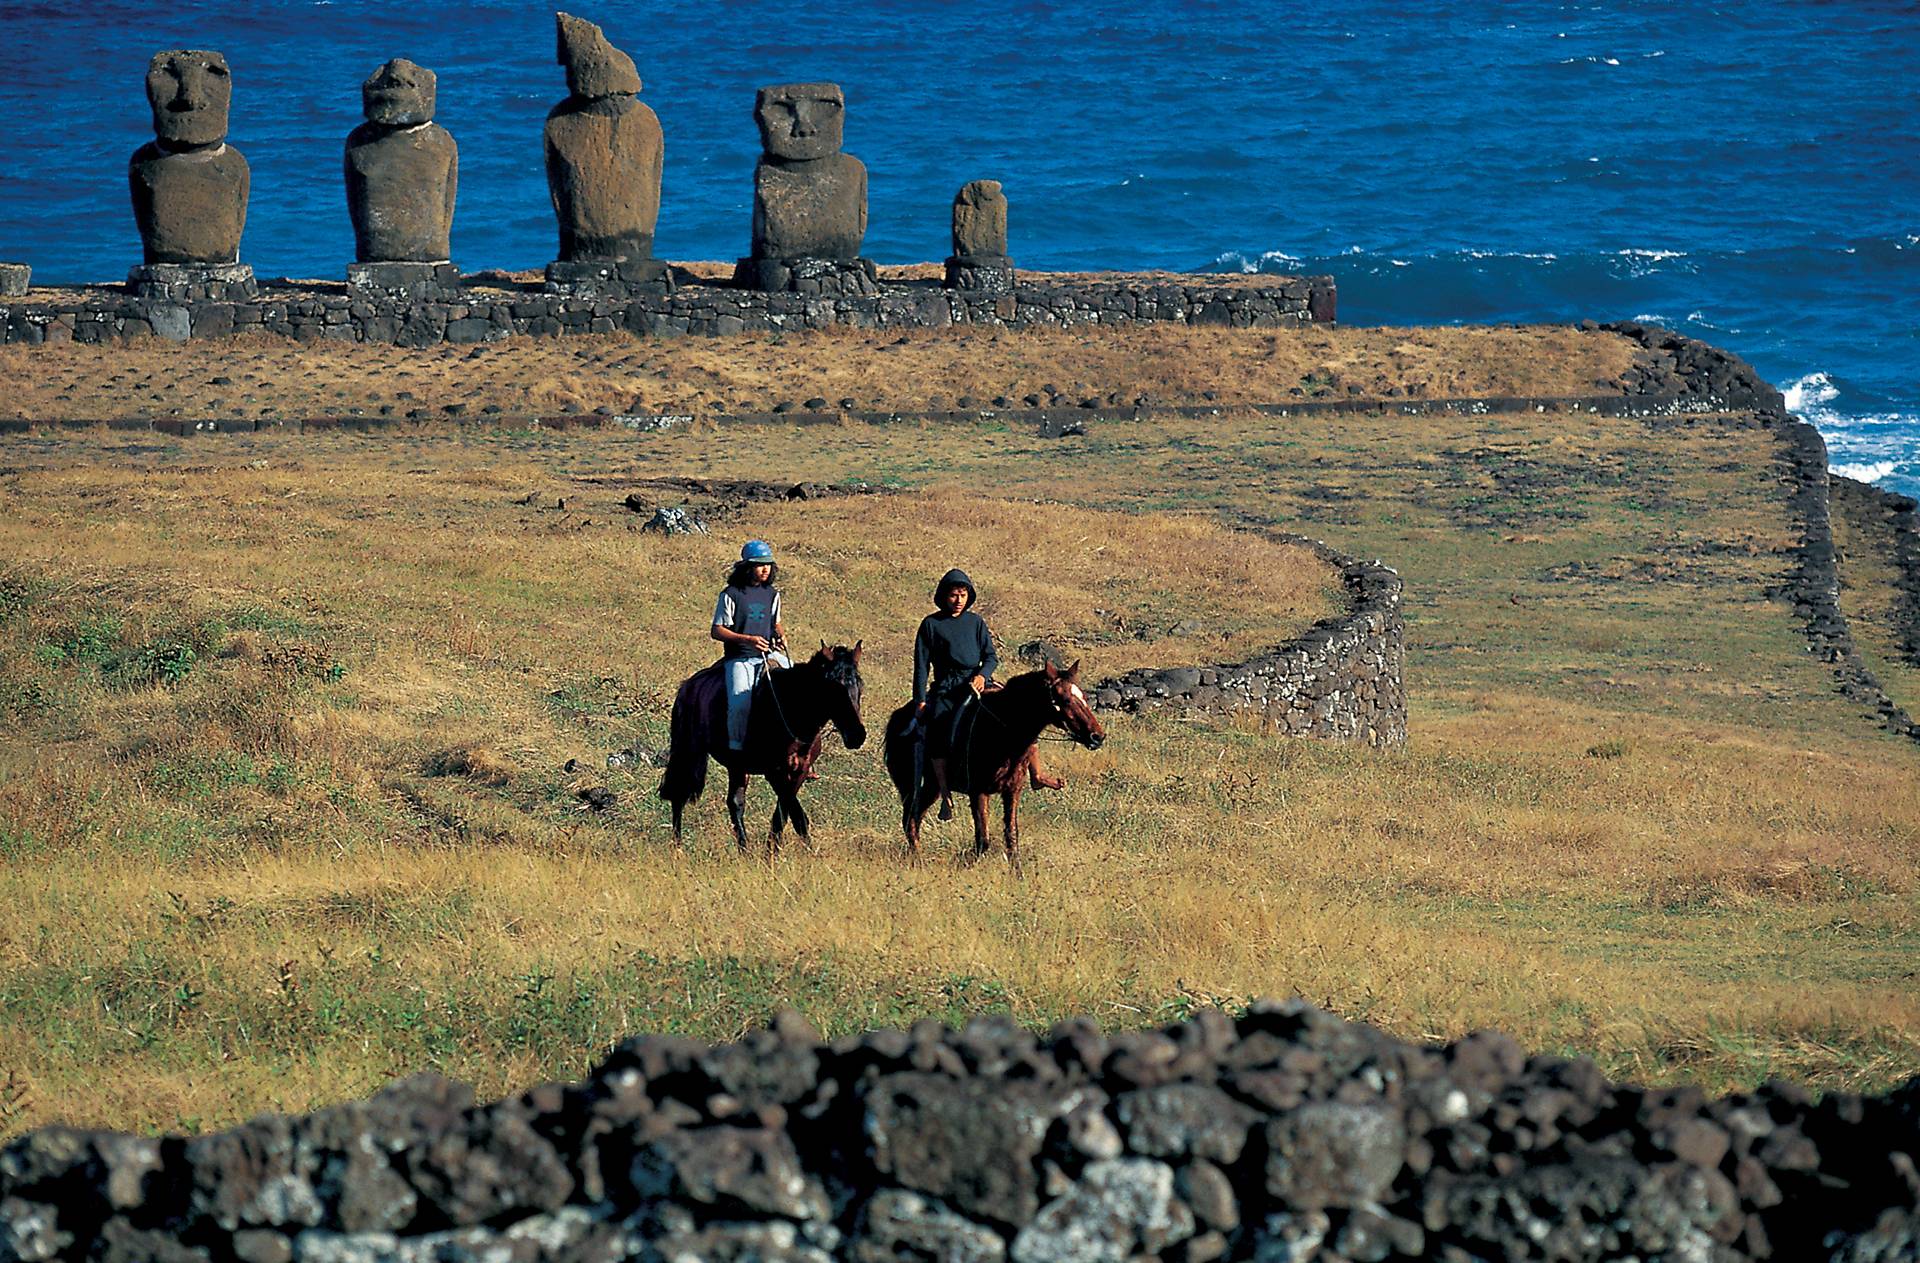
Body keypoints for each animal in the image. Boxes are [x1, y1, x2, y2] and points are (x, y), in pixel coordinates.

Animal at [664, 641, 867, 856]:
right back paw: (678, 847)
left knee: (735, 803)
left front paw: (797, 851)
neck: (792, 711)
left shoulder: (800, 771)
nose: (857, 735)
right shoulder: (774, 772)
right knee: (678, 794)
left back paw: (744, 850)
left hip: (737, 766)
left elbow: (791, 815)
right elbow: (789, 812)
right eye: (833, 688)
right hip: (688, 751)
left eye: (859, 685)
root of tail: (688, 685)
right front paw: (772, 854)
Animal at [879, 660, 1105, 867]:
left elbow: (1011, 836)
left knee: (915, 817)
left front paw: (1017, 875)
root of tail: (896, 719)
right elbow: (983, 839)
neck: (1001, 730)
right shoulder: (978, 791)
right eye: (1065, 699)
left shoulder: (1012, 790)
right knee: (910, 819)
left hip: (931, 787)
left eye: (1084, 697)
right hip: (909, 784)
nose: (1097, 736)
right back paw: (918, 860)